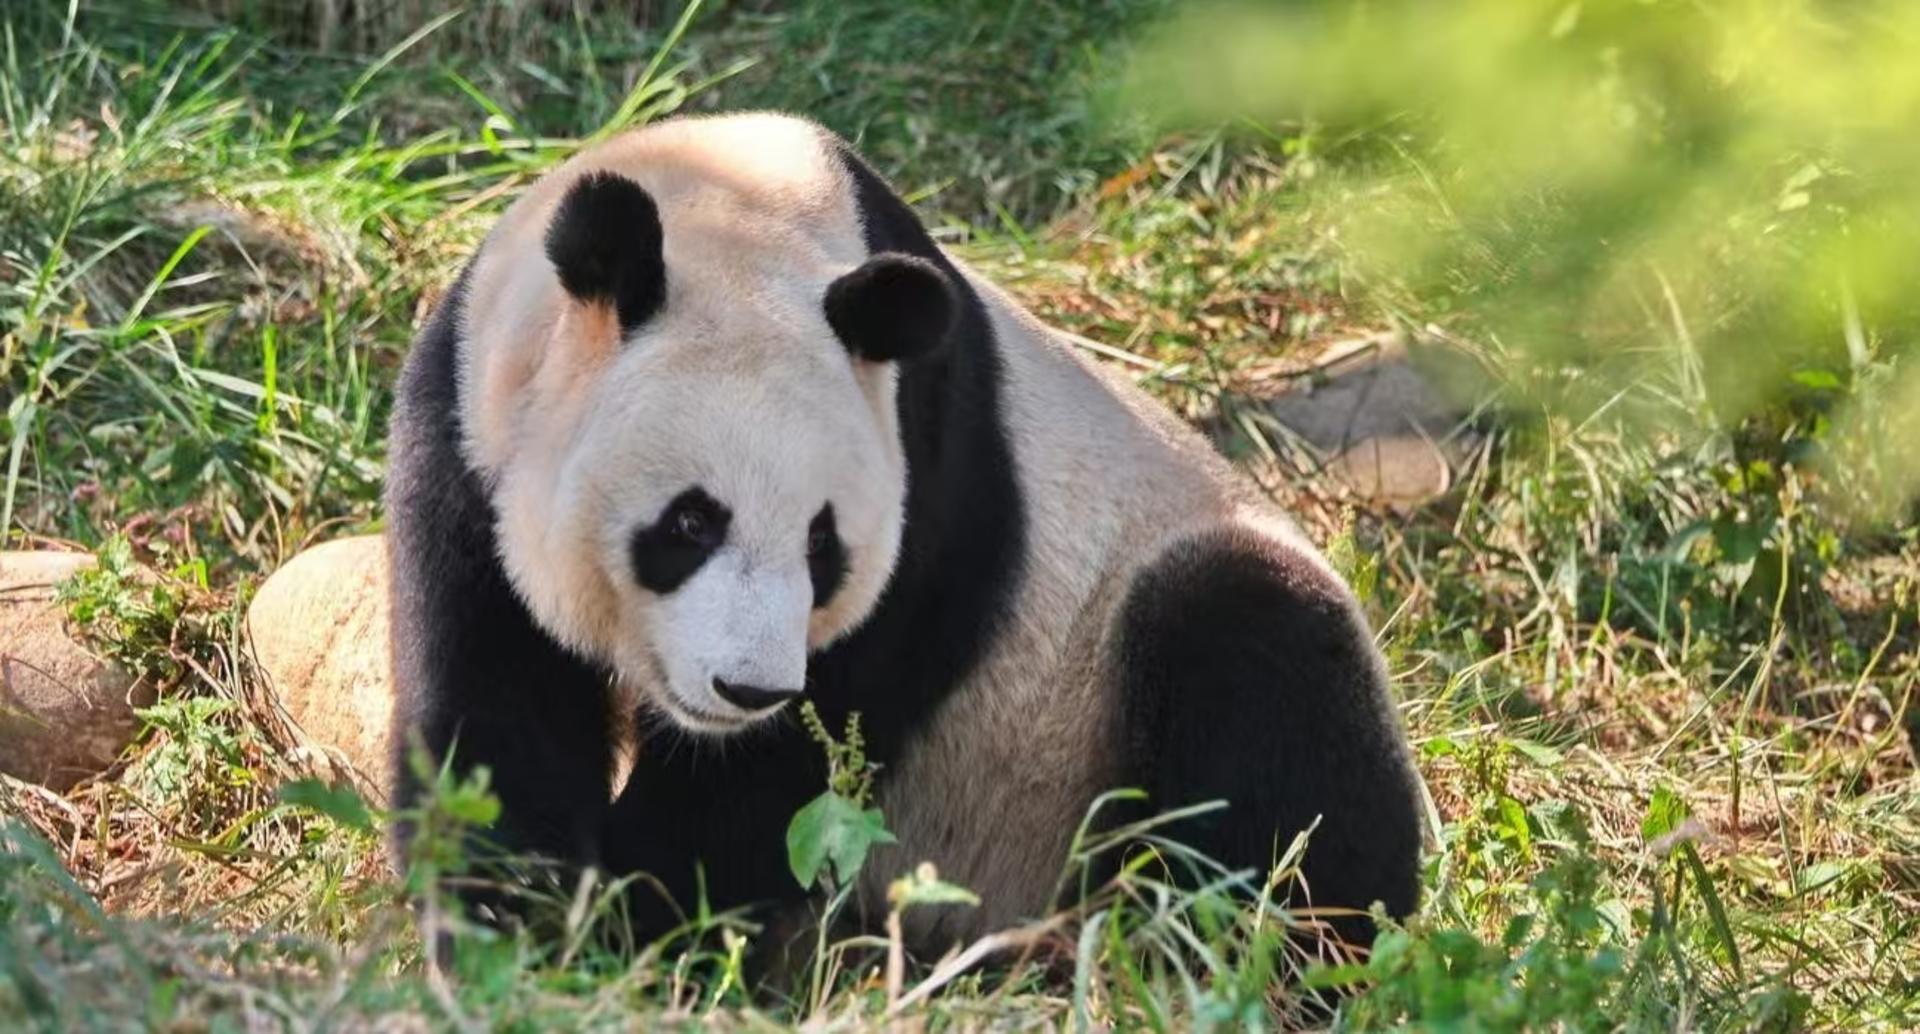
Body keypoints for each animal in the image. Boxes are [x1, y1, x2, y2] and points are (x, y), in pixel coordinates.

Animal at [385, 111, 1425, 962]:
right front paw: (512, 923)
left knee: (1264, 684)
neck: (731, 206)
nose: (748, 689)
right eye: (690, 521)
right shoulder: (465, 428)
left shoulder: (929, 478)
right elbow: (493, 703)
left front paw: (630, 922)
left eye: (823, 545)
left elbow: (790, 764)